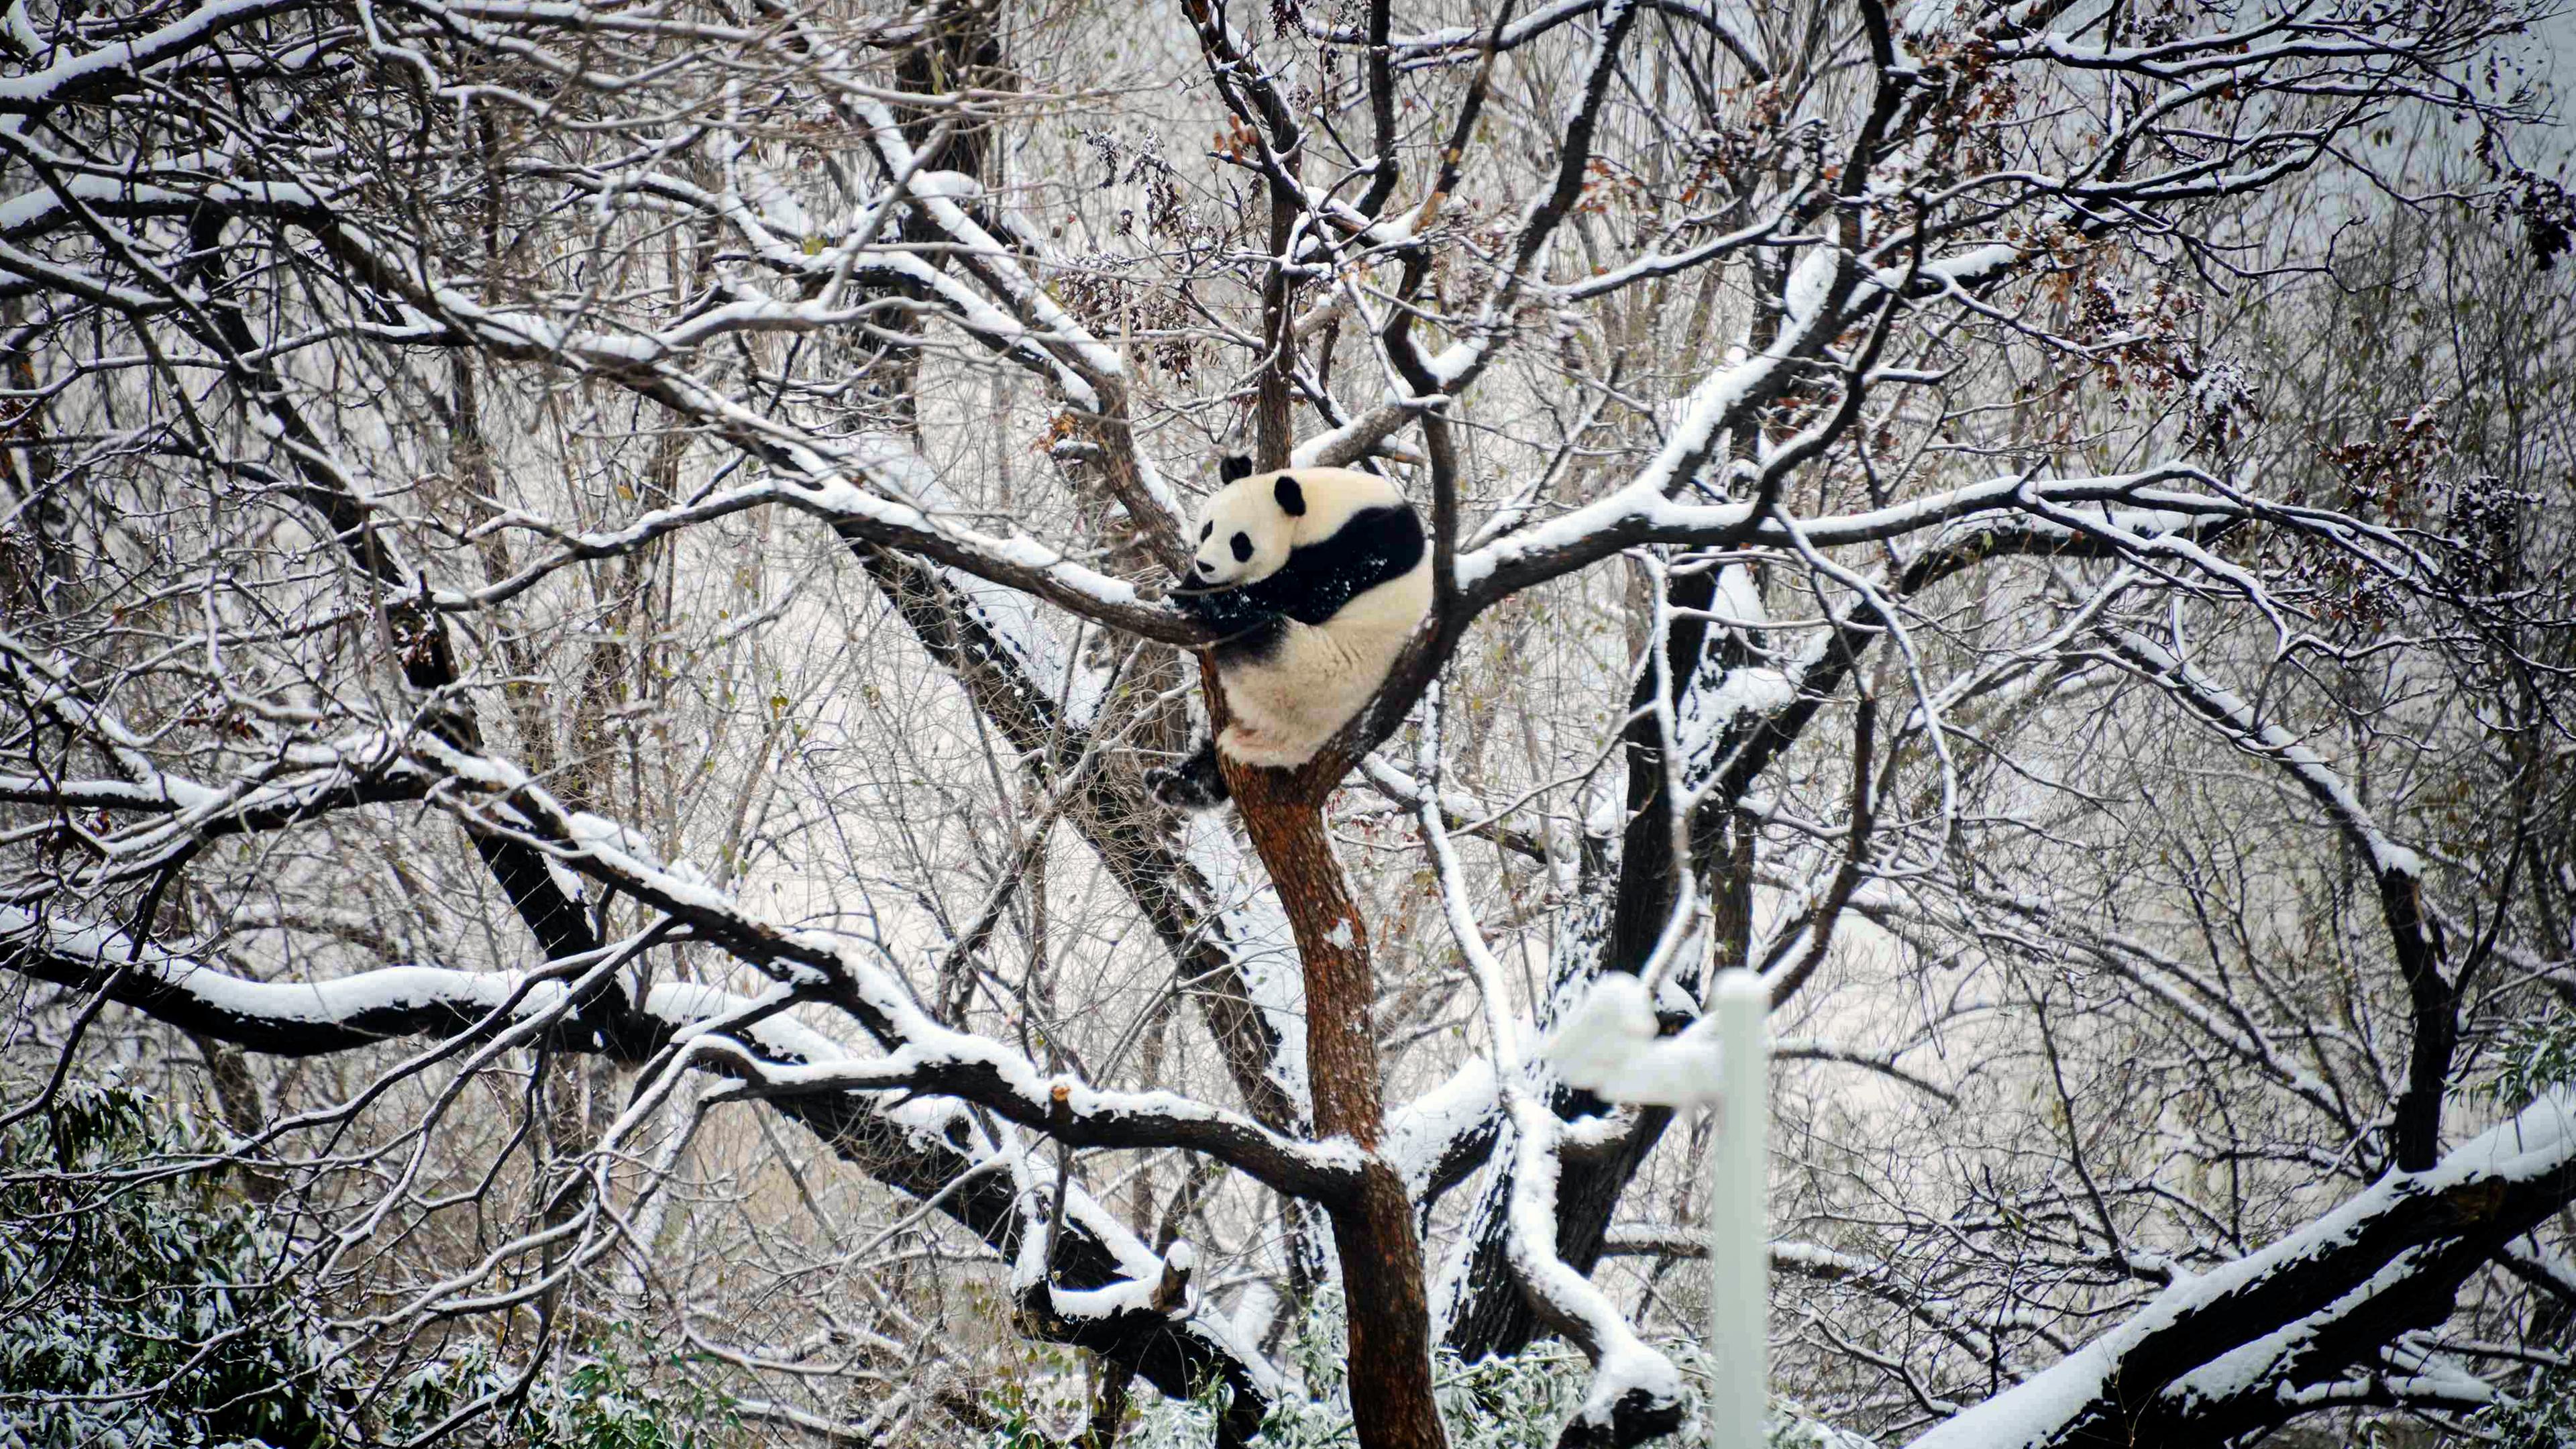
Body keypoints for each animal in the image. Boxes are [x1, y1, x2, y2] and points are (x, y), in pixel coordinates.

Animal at [1148, 457, 1432, 809]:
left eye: (1240, 542)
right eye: (1208, 528)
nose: (1205, 565)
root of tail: (1286, 744)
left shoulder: (1365, 543)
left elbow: (1305, 592)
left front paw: (1199, 593)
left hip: (1304, 673)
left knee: (1254, 630)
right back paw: (1179, 783)